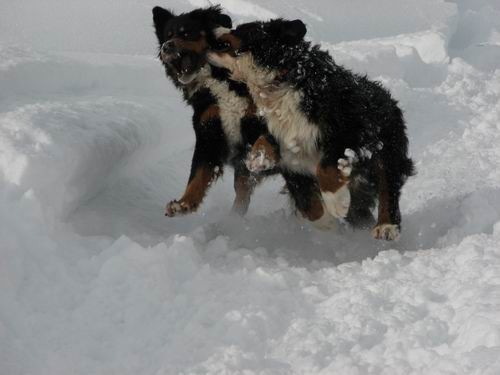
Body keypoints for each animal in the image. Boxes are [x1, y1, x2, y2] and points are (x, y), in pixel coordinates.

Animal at [207, 19, 414, 239]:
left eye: (241, 29)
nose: (213, 30)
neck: (280, 82)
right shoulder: (289, 155)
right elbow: (307, 203)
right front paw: (327, 223)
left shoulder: (350, 132)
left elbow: (327, 167)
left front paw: (337, 203)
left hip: (386, 148)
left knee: (387, 185)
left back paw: (386, 226)